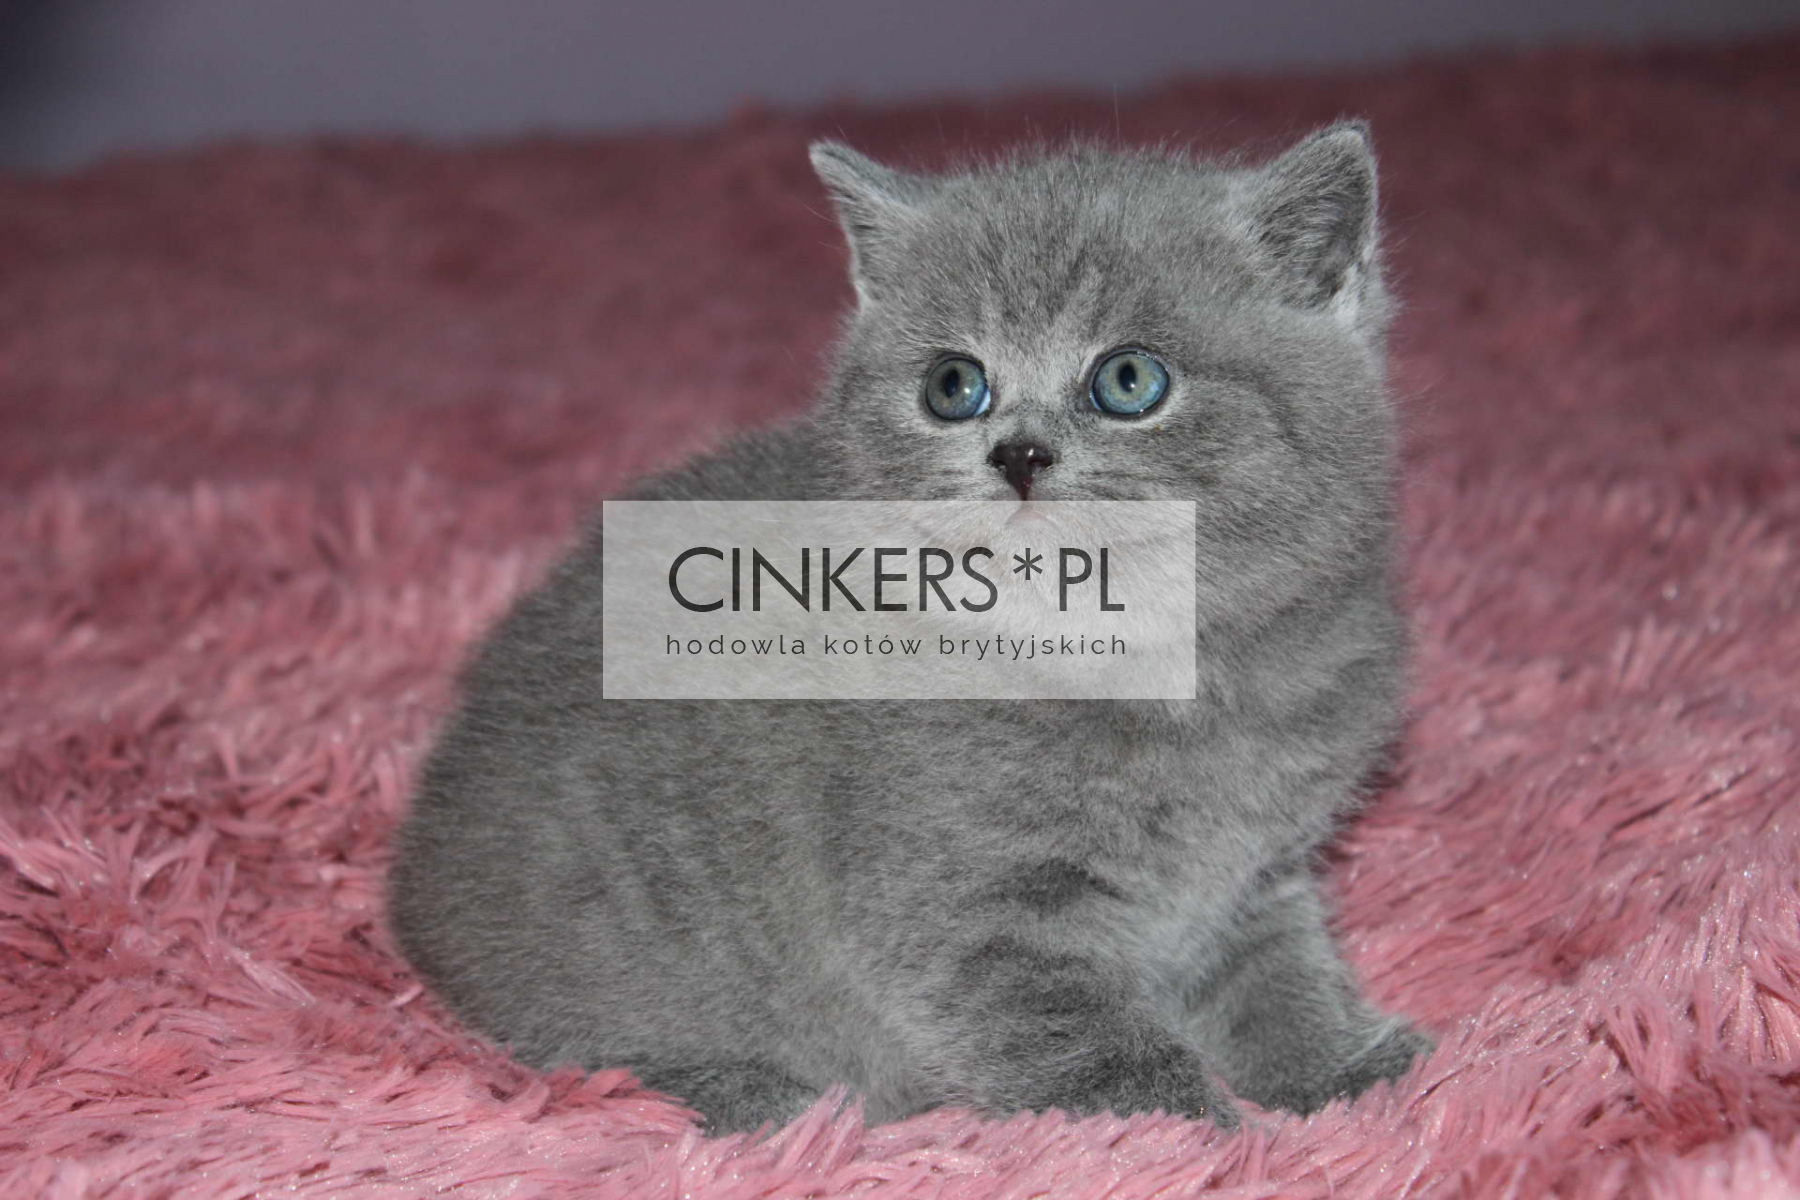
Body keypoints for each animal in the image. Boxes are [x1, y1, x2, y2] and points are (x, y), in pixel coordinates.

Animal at [389, 123, 1432, 1134]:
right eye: (954, 385)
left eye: (1130, 379)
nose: (1017, 453)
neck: (1176, 678)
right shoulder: (968, 917)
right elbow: (1087, 1048)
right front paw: (1197, 1132)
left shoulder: (1254, 875)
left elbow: (1279, 979)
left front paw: (1349, 1075)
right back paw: (777, 1102)